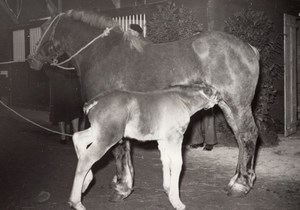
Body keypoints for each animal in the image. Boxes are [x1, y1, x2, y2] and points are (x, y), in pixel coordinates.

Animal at [69, 83, 220, 209]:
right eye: (215, 92)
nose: (219, 99)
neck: (181, 100)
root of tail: (95, 101)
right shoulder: (175, 137)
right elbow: (178, 164)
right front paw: (177, 201)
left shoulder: (163, 140)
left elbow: (166, 161)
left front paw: (168, 189)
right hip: (108, 137)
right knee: (87, 159)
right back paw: (76, 202)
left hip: (98, 132)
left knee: (78, 138)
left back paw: (86, 181)